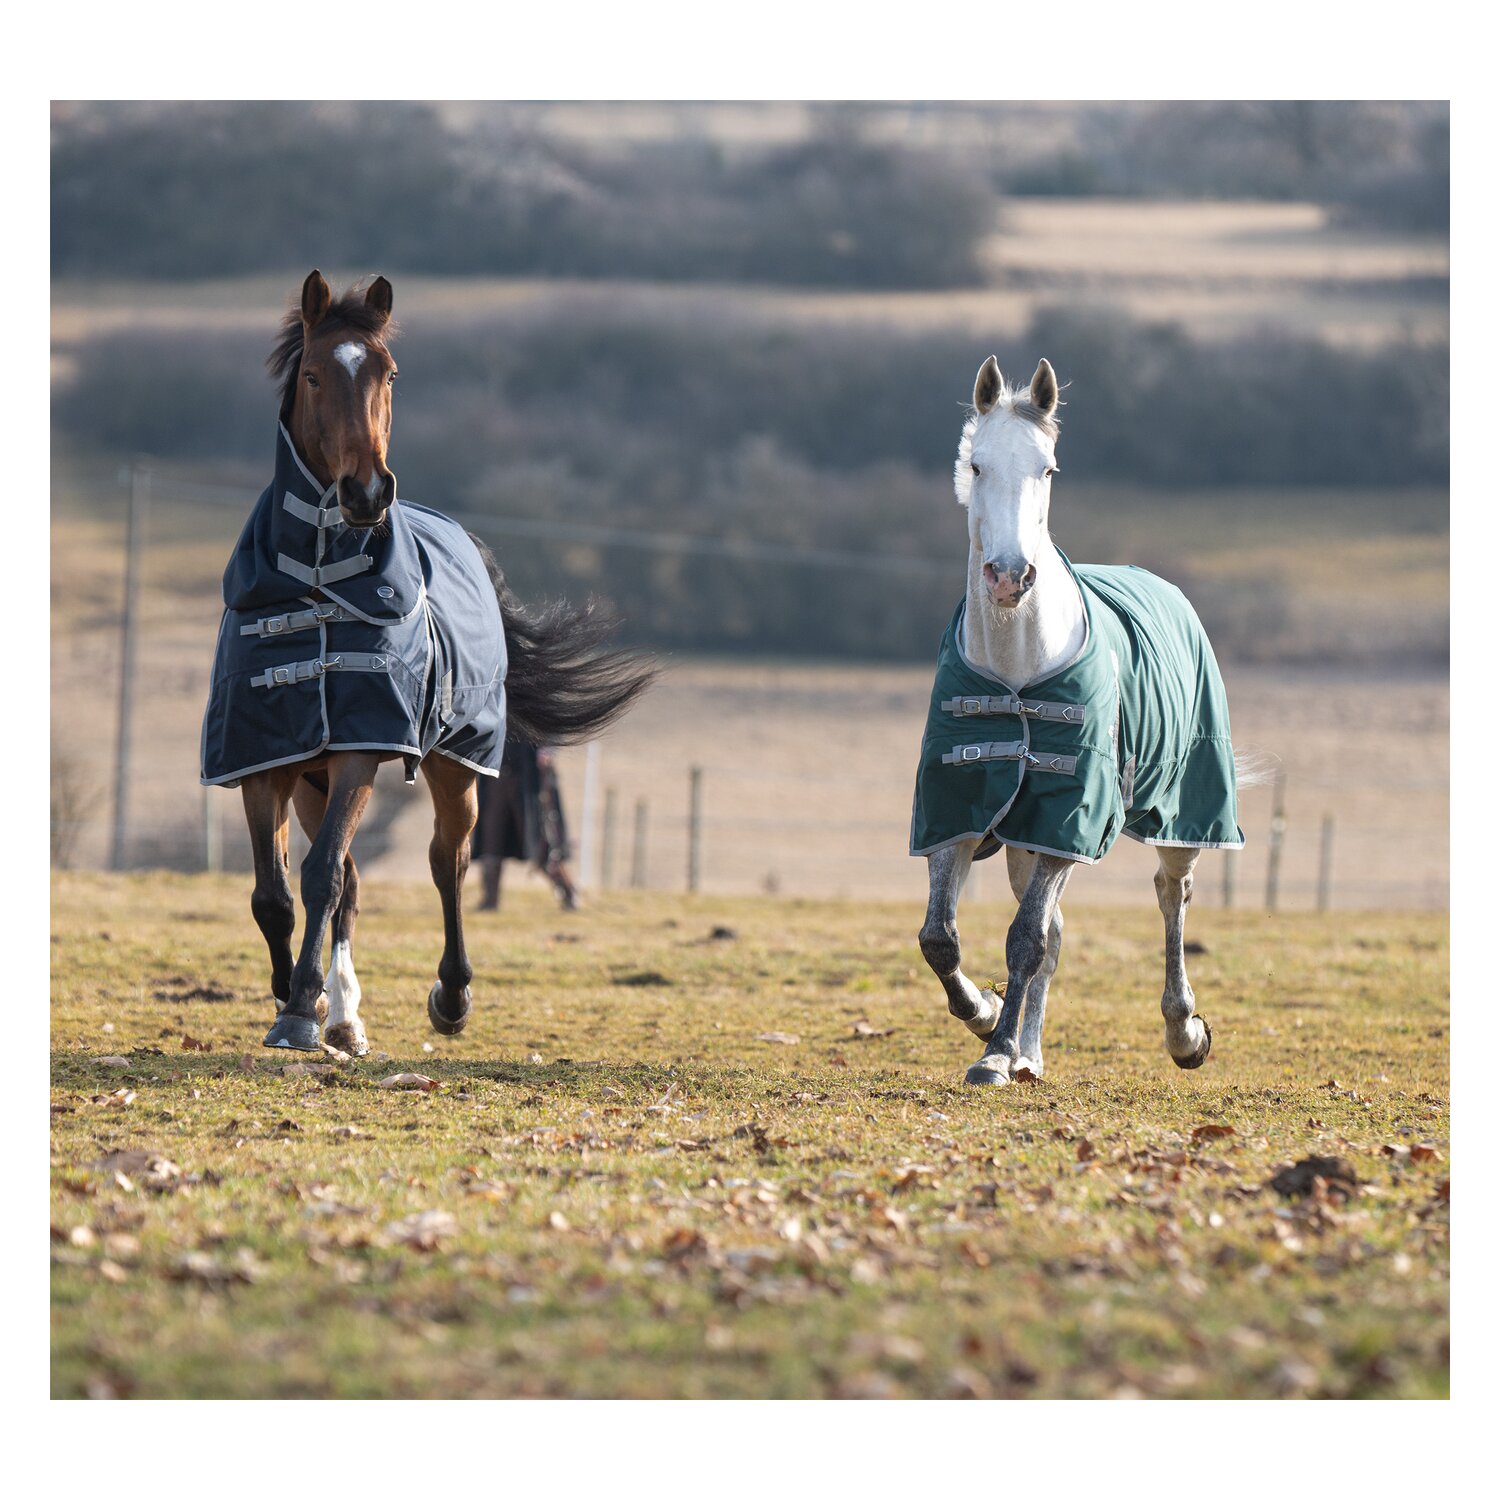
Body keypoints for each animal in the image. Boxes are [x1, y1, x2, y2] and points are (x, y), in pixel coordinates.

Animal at [201, 270, 654, 1055]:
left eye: (389, 374)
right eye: (313, 374)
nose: (366, 491)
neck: (315, 580)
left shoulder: (361, 747)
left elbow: (320, 878)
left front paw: (301, 1005)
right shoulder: (268, 759)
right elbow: (275, 894)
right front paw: (297, 1000)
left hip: (456, 766)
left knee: (449, 863)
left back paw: (451, 995)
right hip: (318, 780)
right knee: (354, 883)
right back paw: (346, 1017)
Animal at [912, 356, 1246, 1087]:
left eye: (1048, 469)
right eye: (976, 464)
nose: (1009, 577)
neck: (1016, 665)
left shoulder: (1072, 820)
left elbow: (1024, 938)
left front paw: (995, 1052)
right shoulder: (963, 809)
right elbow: (941, 938)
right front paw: (987, 1020)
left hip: (1181, 811)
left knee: (1171, 896)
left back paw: (1183, 1032)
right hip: (1023, 837)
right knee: (1055, 931)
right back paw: (1029, 1052)